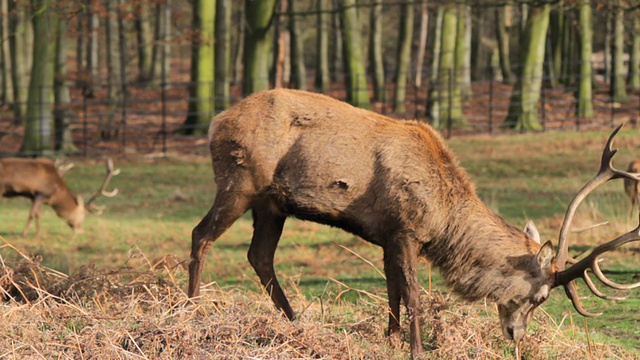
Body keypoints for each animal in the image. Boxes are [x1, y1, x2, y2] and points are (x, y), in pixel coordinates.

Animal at [189, 89, 640, 358]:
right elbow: (414, 295)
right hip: (240, 180)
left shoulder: (388, 234)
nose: (518, 337)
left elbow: (392, 289)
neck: (443, 221)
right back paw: (192, 311)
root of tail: (215, 121)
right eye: (541, 295)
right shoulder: (405, 230)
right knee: (200, 235)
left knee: (259, 255)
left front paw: (390, 339)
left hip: (272, 204)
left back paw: (295, 322)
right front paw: (417, 348)